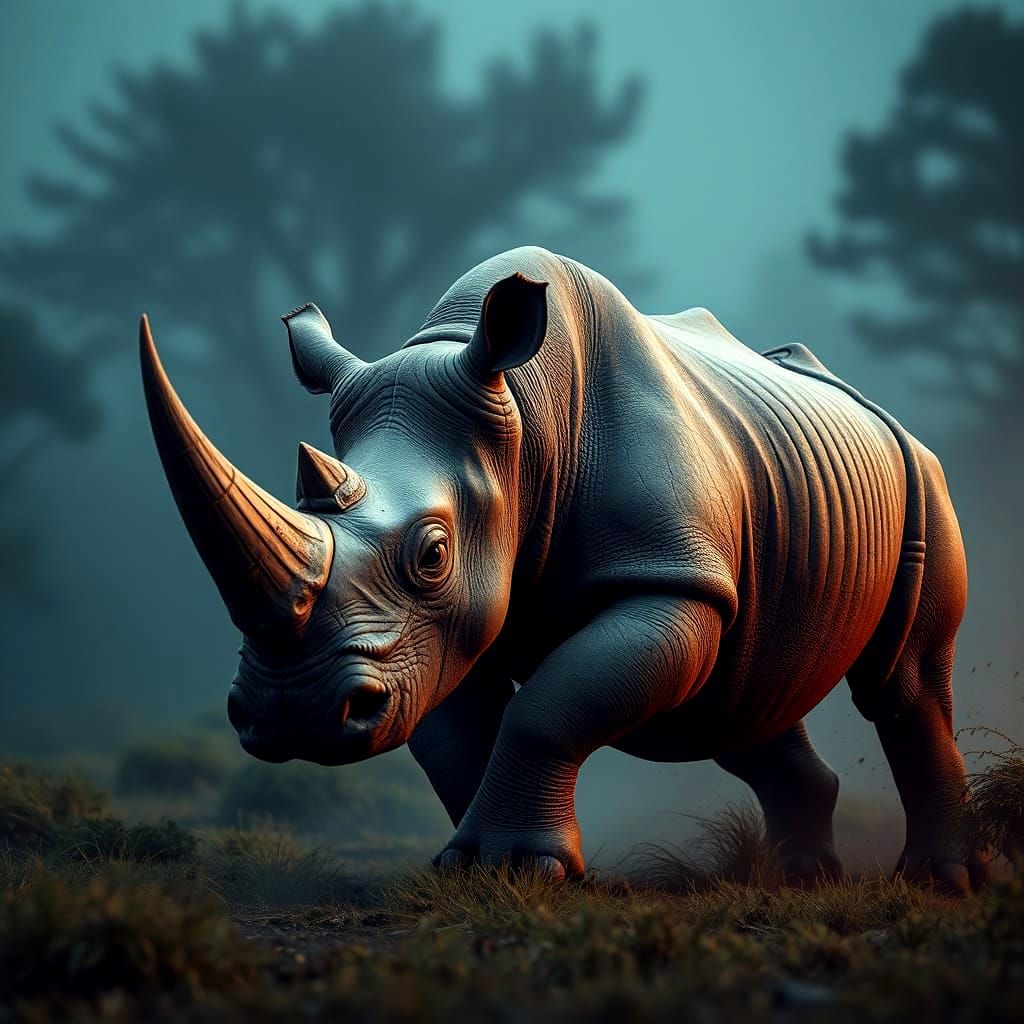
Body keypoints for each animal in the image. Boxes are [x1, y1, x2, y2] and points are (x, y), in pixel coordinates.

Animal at [141, 246, 989, 892]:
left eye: (433, 553)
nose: (294, 716)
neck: (523, 422)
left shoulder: (666, 576)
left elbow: (550, 706)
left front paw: (521, 867)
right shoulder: (425, 638)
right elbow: (460, 734)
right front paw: (476, 868)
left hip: (922, 477)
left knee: (902, 684)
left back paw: (939, 883)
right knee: (742, 701)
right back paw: (801, 880)